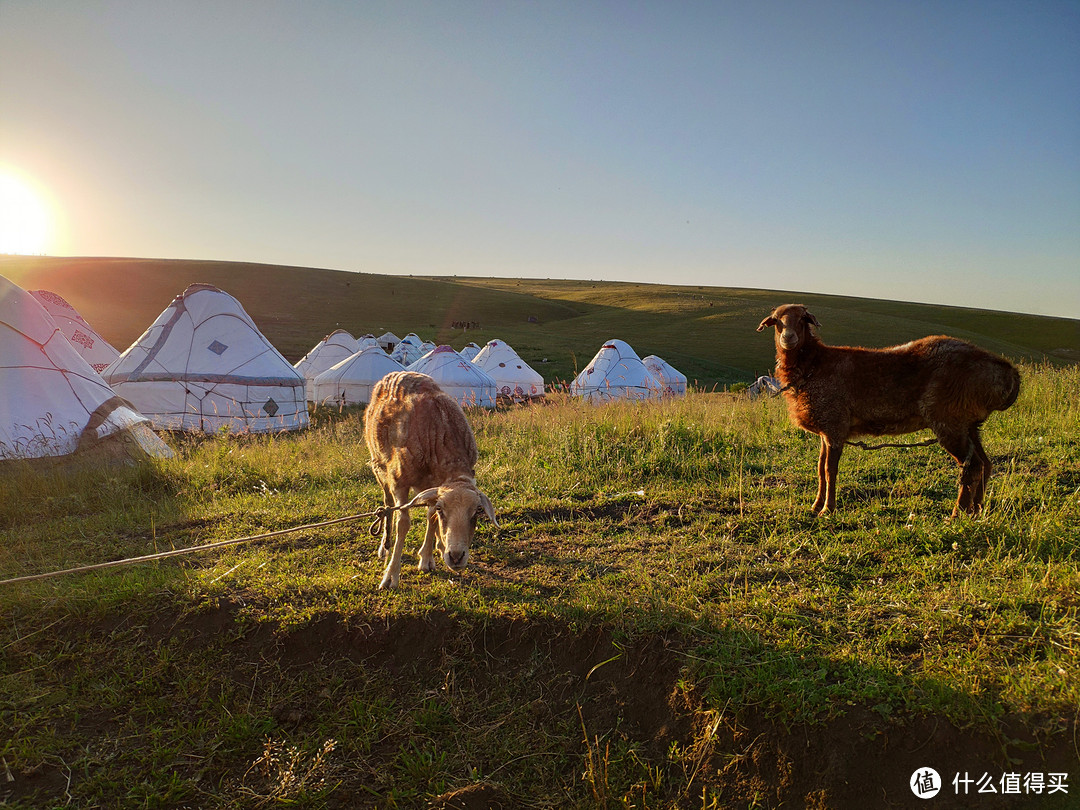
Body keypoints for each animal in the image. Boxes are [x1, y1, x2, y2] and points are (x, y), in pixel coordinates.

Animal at [362, 373, 496, 591]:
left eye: (478, 510)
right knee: (388, 505)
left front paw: (427, 558)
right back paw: (385, 546)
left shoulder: (435, 486)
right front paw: (391, 575)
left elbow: (431, 517)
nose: (456, 557)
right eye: (444, 509)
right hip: (379, 466)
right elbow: (403, 523)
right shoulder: (400, 482)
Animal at [760, 304, 1019, 520]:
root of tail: (1007, 372)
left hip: (950, 421)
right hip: (969, 424)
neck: (813, 364)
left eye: (802, 319)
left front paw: (827, 509)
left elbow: (829, 470)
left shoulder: (835, 425)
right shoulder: (827, 431)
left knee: (972, 466)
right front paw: (816, 505)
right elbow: (820, 468)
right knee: (985, 464)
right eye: (777, 321)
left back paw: (958, 514)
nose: (788, 338)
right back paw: (977, 510)